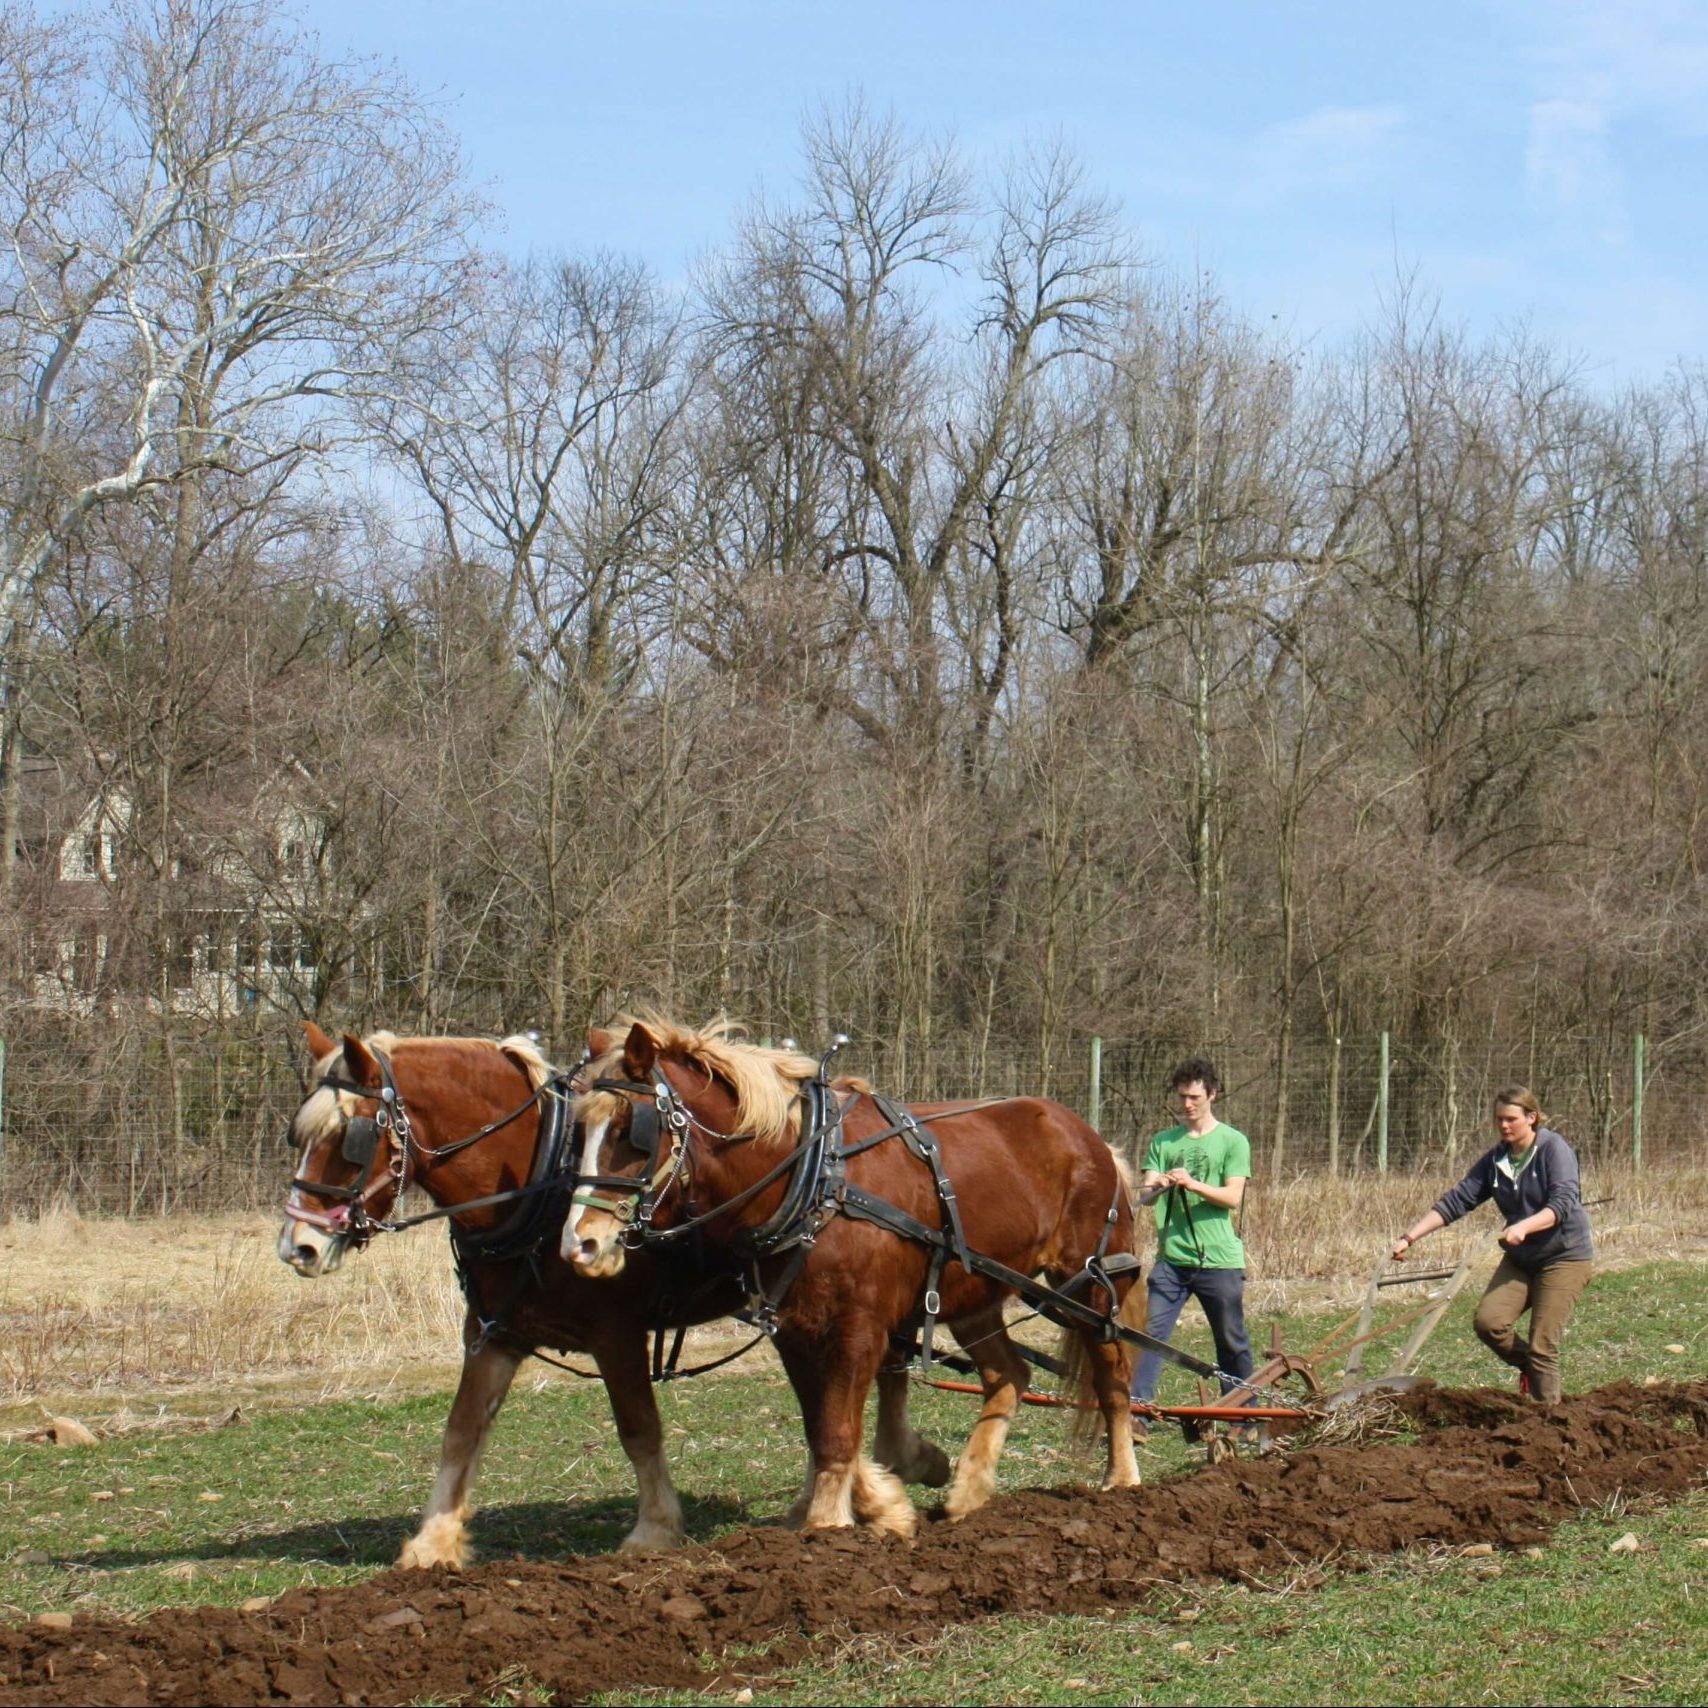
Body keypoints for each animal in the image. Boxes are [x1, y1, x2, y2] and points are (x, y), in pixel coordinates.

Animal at [278, 1017, 949, 1564]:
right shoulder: (494, 1333)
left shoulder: (615, 1333)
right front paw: (431, 1542)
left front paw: (654, 1529)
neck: (536, 1186)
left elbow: (638, 1429)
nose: (296, 1248)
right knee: (870, 1375)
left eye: (349, 1137)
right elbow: (461, 1430)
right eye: (296, 1137)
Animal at [570, 1011, 1147, 1537]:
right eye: (578, 1132)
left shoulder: (860, 1326)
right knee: (1009, 1376)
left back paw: (1121, 1480)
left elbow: (838, 1430)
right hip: (972, 1292)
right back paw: (968, 1492)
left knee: (1111, 1378)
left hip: (1091, 1288)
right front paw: (873, 1504)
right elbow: (819, 1425)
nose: (581, 1243)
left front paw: (829, 1525)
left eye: (631, 1130)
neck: (813, 1177)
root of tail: (1093, 1139)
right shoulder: (794, 1328)